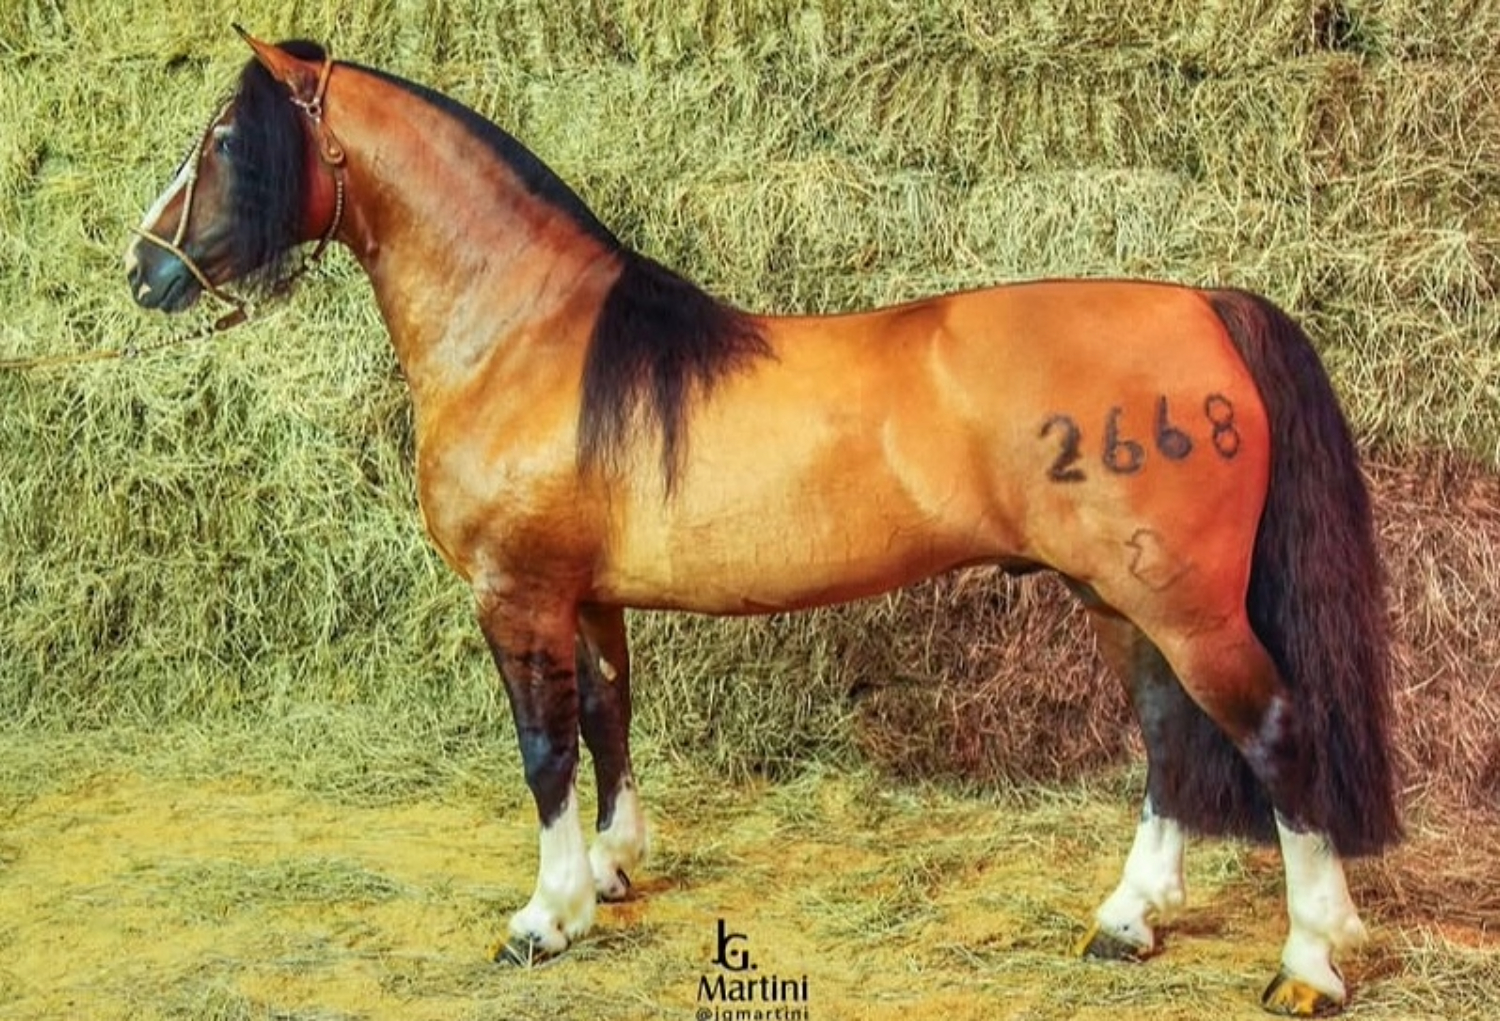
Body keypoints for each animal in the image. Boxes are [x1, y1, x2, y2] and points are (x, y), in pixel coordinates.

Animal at [125, 30, 1399, 1016]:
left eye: (227, 139)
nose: (145, 270)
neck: (530, 337)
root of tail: (1204, 306)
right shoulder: (589, 596)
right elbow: (608, 718)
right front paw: (613, 870)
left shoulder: (517, 593)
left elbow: (544, 748)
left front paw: (546, 914)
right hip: (1119, 600)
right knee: (1172, 736)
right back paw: (1131, 920)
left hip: (1182, 605)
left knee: (1274, 733)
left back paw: (1310, 961)